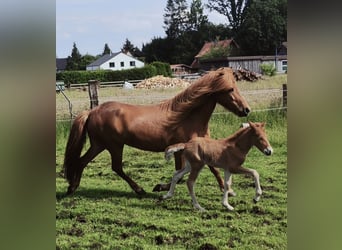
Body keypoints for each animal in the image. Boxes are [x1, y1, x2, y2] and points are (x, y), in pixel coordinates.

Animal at [64, 68, 250, 195]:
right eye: (230, 89)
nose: (246, 110)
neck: (188, 117)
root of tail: (92, 111)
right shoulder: (179, 150)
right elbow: (179, 174)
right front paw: (160, 187)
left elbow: (210, 168)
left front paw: (226, 189)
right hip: (113, 145)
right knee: (116, 167)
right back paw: (139, 190)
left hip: (99, 145)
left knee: (82, 161)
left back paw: (72, 187)